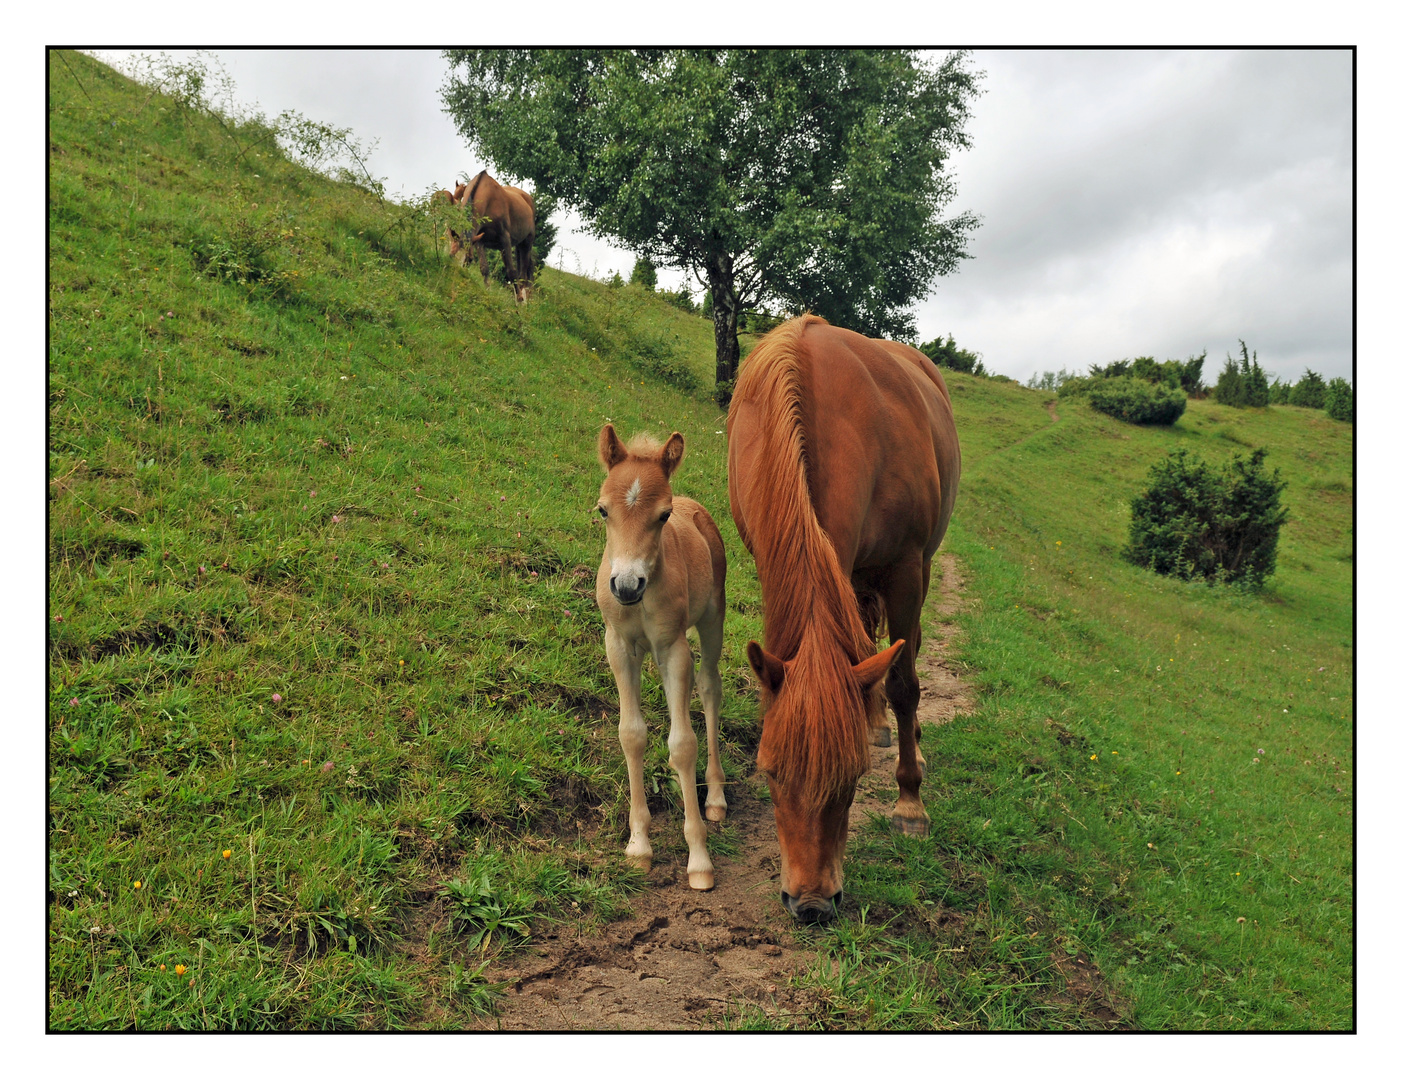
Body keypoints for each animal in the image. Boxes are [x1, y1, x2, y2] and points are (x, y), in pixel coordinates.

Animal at [448, 170, 535, 300]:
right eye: (450, 255)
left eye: (469, 258)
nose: (455, 274)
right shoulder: (479, 240)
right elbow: (484, 268)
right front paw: (487, 291)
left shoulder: (505, 239)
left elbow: (511, 271)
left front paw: (519, 298)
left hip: (526, 243)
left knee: (523, 276)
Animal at [591, 426, 729, 886]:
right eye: (602, 511)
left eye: (664, 516)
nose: (626, 585)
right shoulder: (618, 645)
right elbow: (631, 734)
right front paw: (638, 846)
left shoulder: (672, 647)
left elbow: (684, 743)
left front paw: (699, 859)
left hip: (712, 618)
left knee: (708, 688)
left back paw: (716, 795)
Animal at [729, 308, 958, 920]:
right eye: (769, 772)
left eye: (852, 780)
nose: (810, 903)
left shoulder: (905, 569)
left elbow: (904, 681)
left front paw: (909, 804)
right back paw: (876, 722)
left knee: (905, 651)